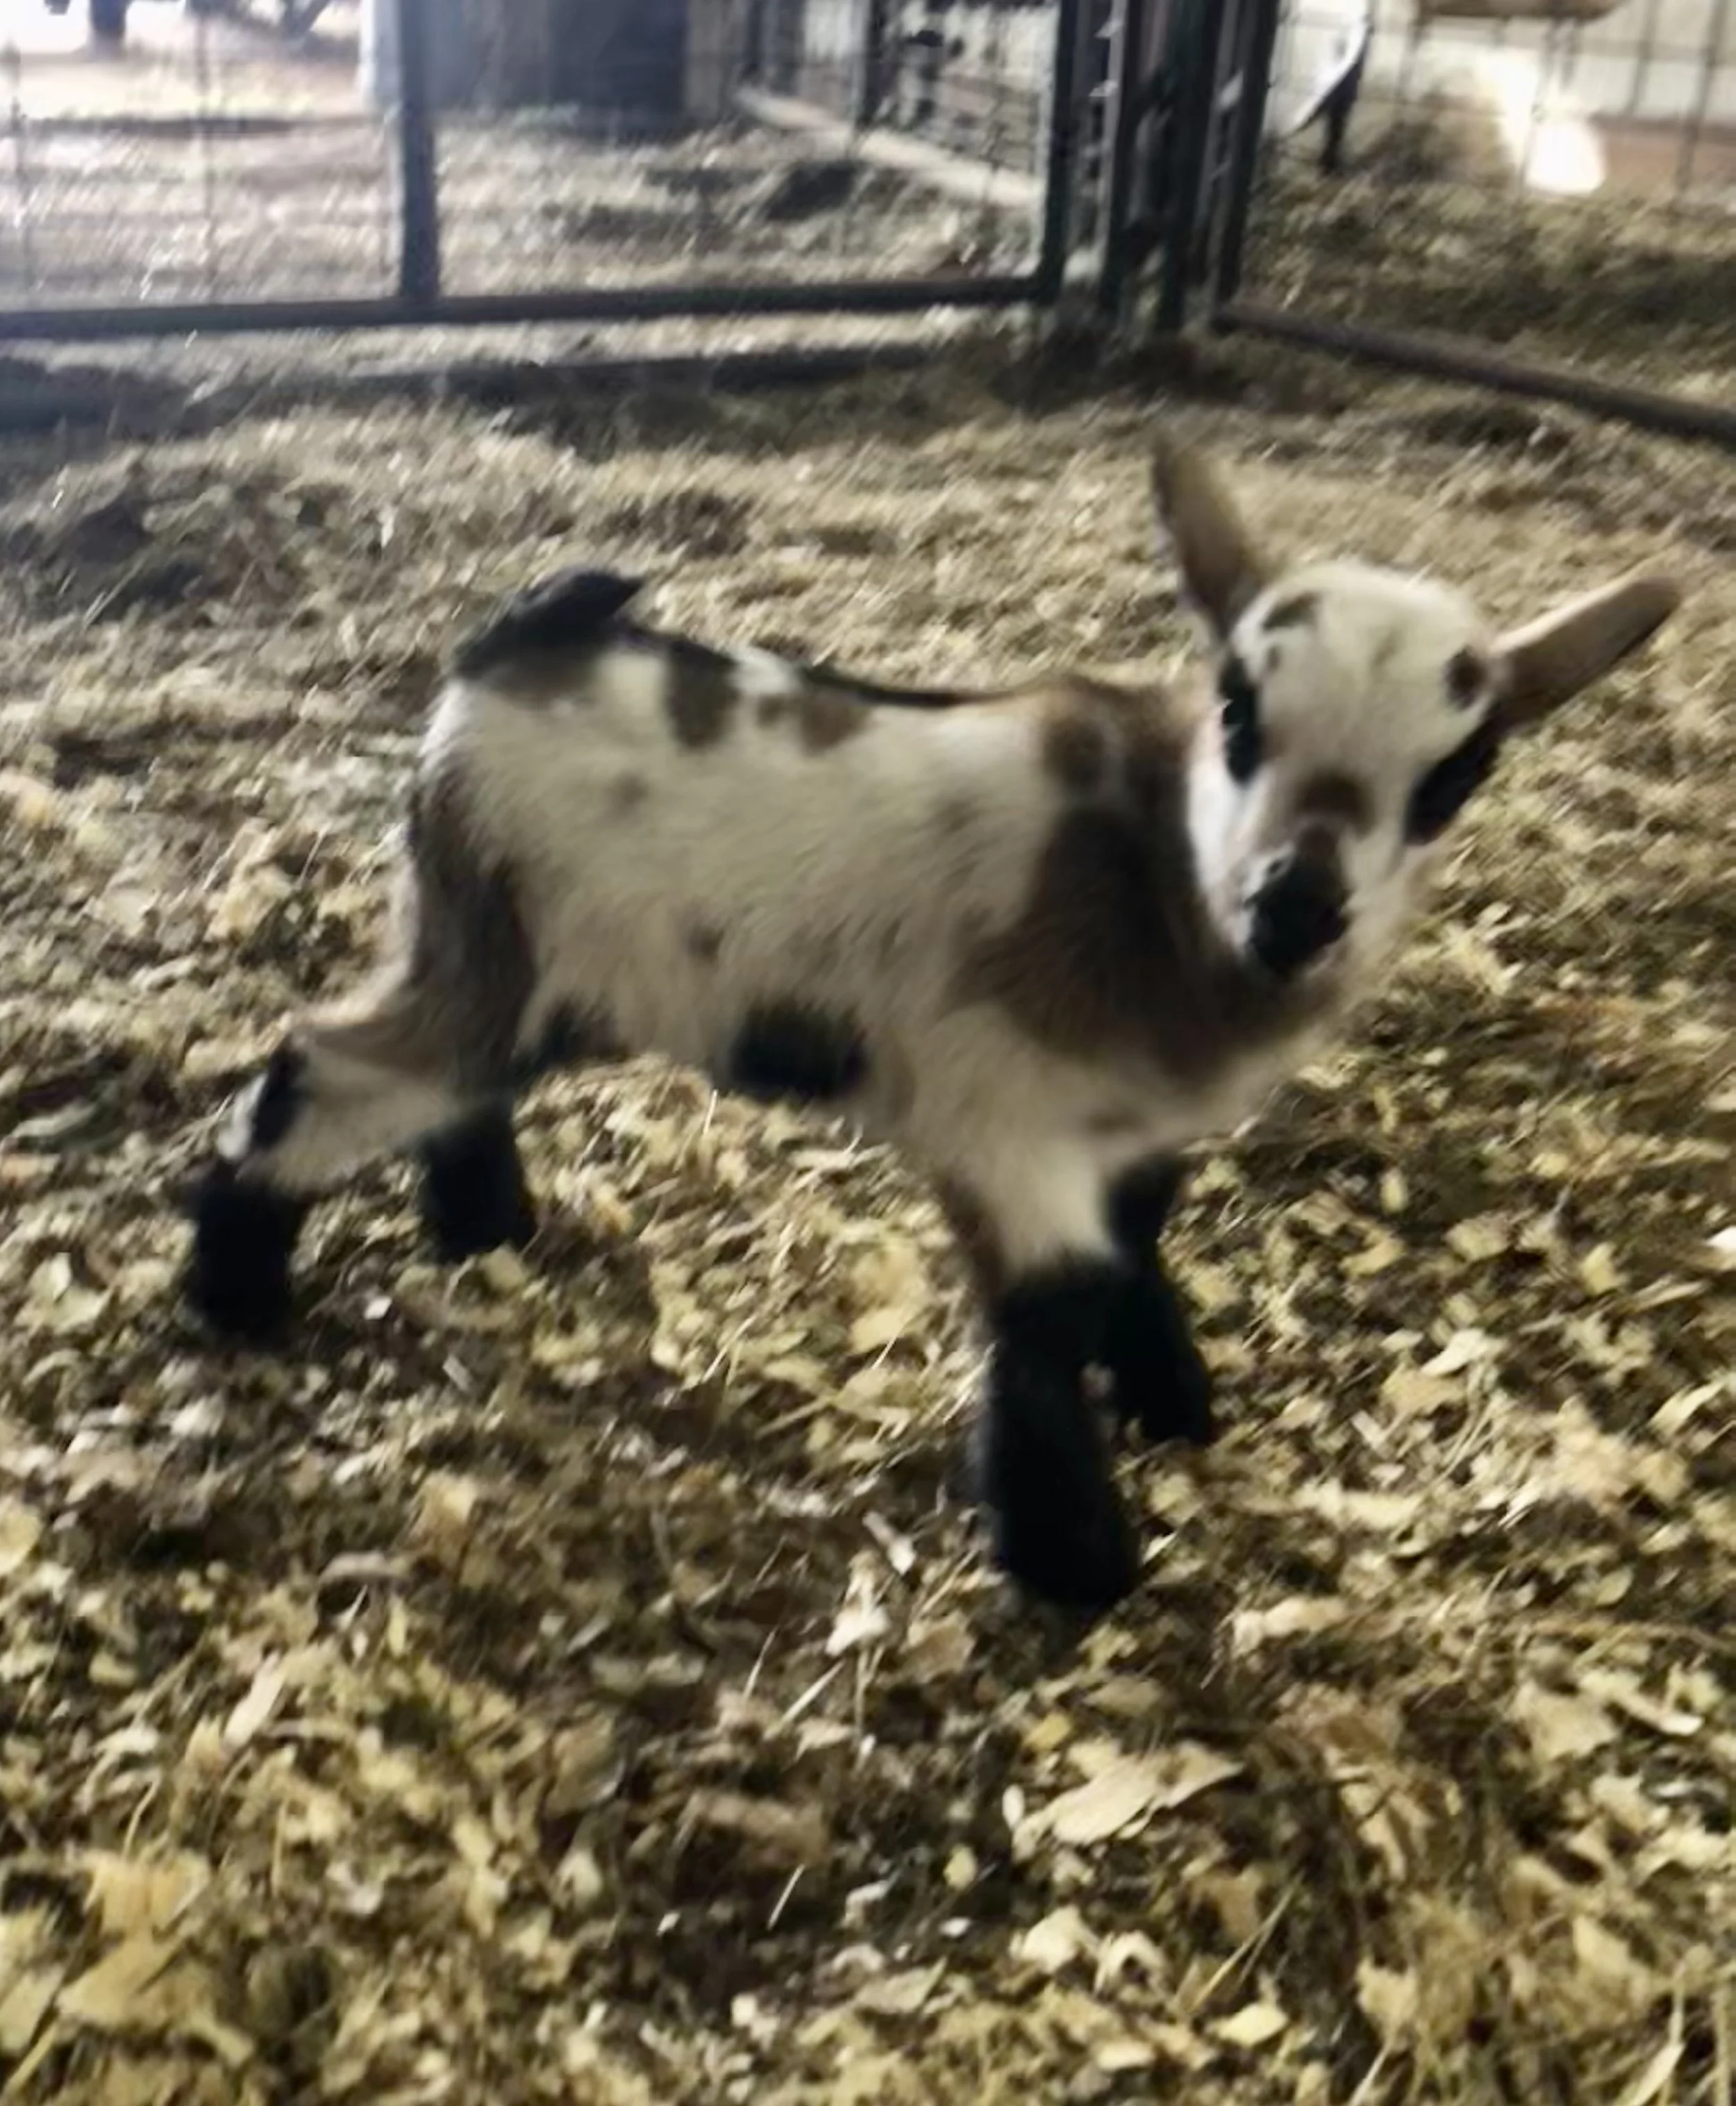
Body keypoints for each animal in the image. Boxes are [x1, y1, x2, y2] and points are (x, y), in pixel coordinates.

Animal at [181, 433, 1681, 1613]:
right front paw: (1073, 1559)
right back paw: (235, 1289)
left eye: (1456, 773)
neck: (1148, 875)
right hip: (495, 944)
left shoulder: (1132, 1130)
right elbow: (1048, 1311)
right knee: (326, 1062)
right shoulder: (1001, 1126)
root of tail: (511, 647)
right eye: (1238, 711)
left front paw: (1173, 1401)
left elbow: (1140, 1247)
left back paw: (480, 1225)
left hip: (519, 960)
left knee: (453, 1079)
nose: (1295, 906)